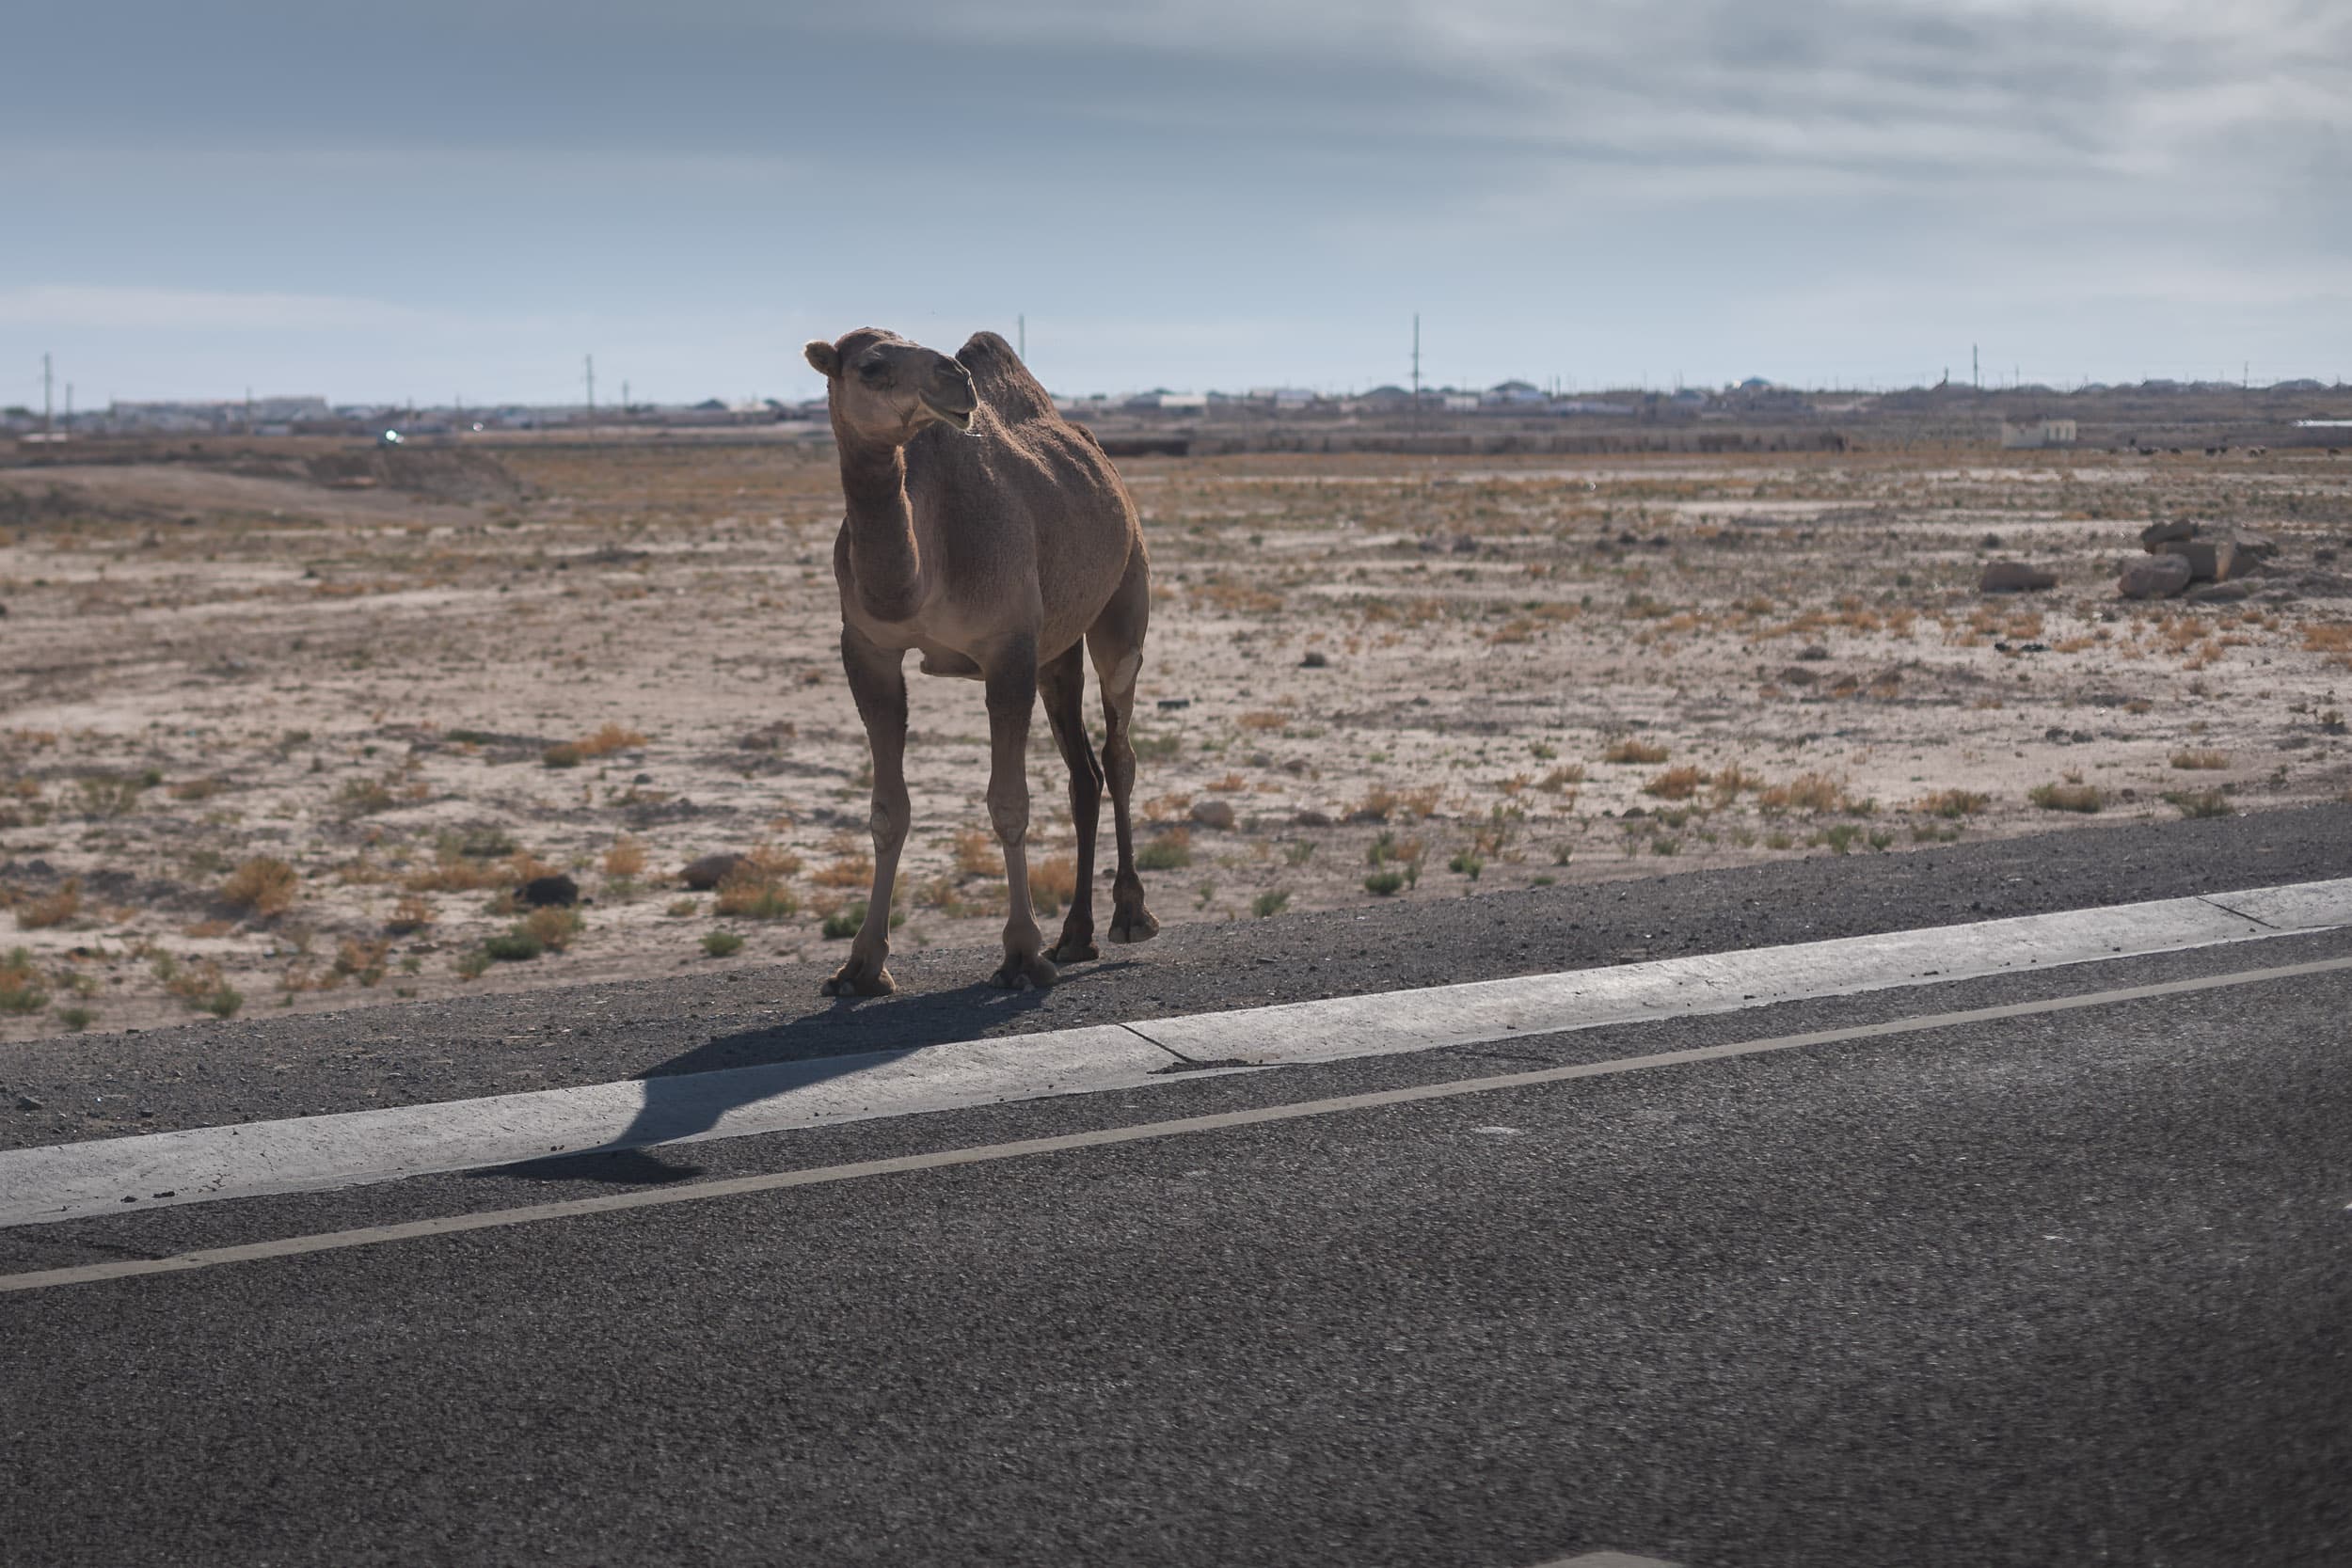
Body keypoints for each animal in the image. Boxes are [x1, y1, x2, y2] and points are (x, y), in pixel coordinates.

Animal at [804, 326, 1162, 1001]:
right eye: (871, 365)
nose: (955, 380)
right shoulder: (866, 648)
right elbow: (888, 811)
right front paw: (861, 965)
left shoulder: (1008, 647)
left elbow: (1009, 803)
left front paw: (1021, 955)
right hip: (1057, 651)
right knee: (1082, 774)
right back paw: (1075, 934)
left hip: (1123, 604)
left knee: (1118, 752)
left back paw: (1131, 915)